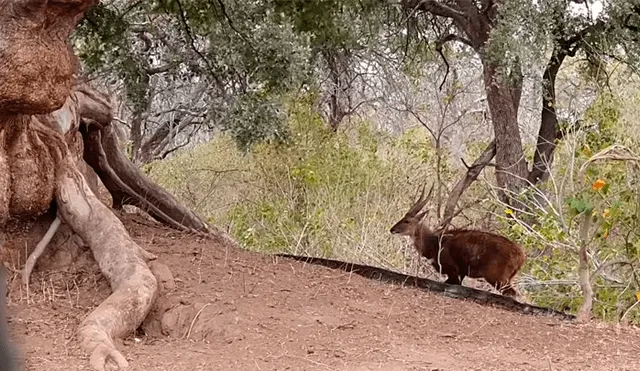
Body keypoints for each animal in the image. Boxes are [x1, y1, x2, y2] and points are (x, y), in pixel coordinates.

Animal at [390, 185, 524, 298]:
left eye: (407, 221)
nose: (392, 229)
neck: (435, 243)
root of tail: (521, 256)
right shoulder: (459, 274)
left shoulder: (452, 271)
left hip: (497, 278)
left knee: (513, 294)